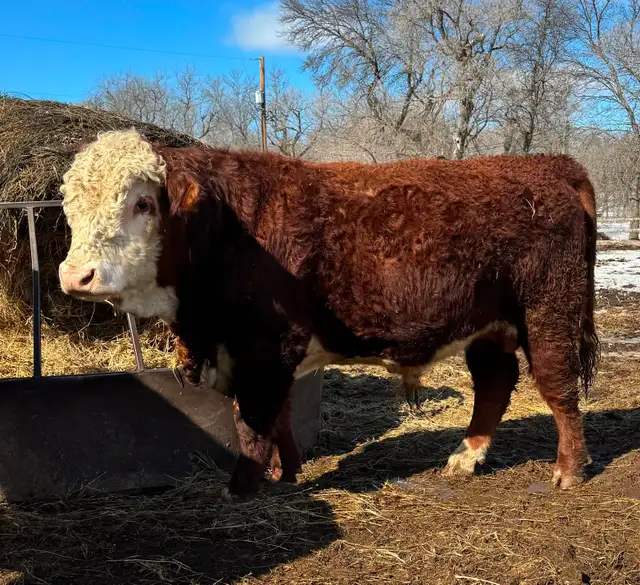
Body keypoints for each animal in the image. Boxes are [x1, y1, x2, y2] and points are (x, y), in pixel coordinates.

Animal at [58, 129, 599, 499]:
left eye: (142, 203)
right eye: (69, 208)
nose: (75, 275)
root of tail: (548, 165)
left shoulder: (264, 347)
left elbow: (252, 421)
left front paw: (242, 487)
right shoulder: (262, 354)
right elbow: (278, 417)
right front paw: (288, 473)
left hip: (549, 311)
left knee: (558, 386)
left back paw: (569, 470)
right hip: (488, 325)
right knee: (494, 383)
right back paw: (466, 457)